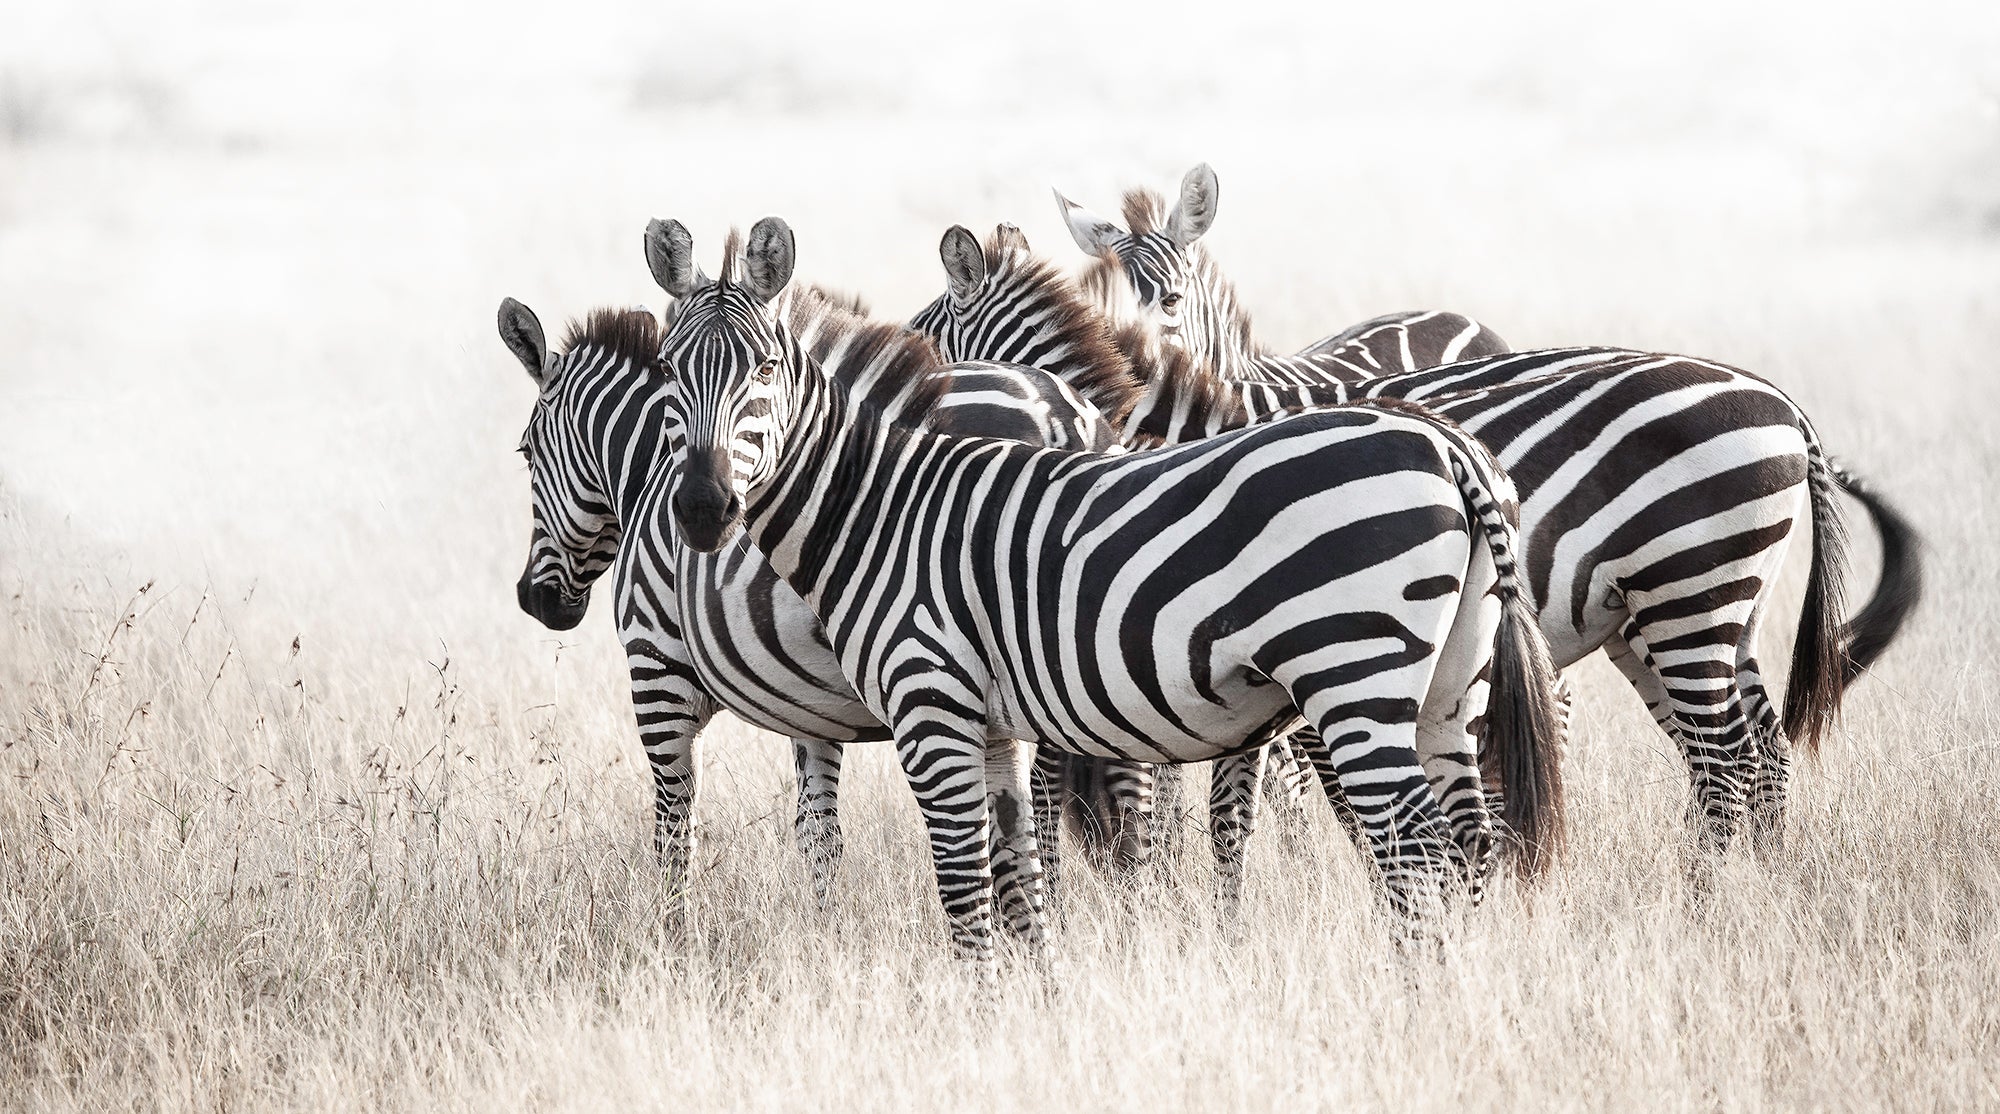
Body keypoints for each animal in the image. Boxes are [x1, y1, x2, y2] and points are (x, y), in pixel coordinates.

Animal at [494, 280, 1136, 940]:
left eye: (526, 453)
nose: (534, 599)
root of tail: (1060, 417)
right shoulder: (810, 708)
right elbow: (818, 832)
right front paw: (826, 932)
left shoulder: (657, 670)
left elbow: (677, 826)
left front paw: (674, 939)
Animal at [648, 217, 1568, 972]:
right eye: (668, 372)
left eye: (765, 368)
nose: (702, 507)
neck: (878, 506)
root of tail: (1449, 447)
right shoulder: (993, 723)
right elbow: (1019, 864)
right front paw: (1040, 1000)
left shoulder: (930, 703)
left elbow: (964, 880)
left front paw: (981, 1016)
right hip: (1450, 681)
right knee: (1469, 836)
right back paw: (1463, 982)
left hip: (1354, 668)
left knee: (1416, 843)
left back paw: (1420, 988)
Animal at [916, 219, 1920, 860]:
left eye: (922, 345)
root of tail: (1782, 405)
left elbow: (1249, 800)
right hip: (1685, 610)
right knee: (1757, 750)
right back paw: (1756, 885)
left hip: (1688, 592)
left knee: (1725, 760)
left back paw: (1709, 898)